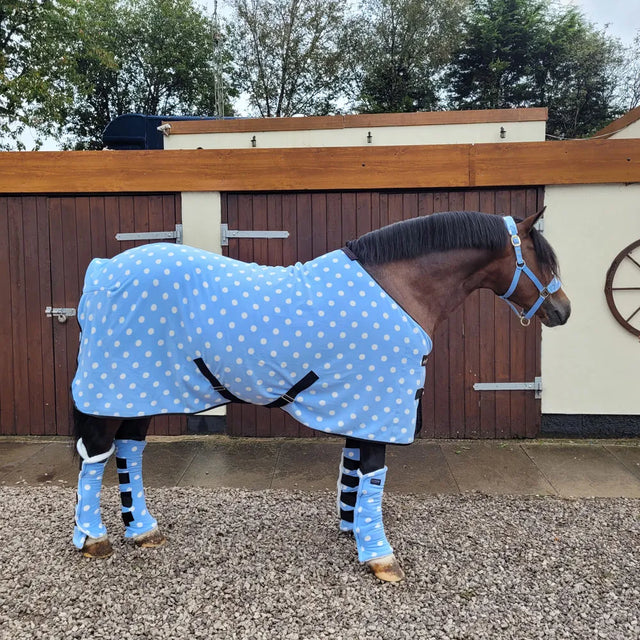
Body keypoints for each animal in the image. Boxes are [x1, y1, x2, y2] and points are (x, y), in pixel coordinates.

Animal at [70, 209, 568, 580]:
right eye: (542, 260)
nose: (563, 311)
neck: (398, 288)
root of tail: (102, 270)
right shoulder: (379, 403)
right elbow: (374, 474)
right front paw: (379, 554)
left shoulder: (362, 403)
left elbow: (353, 470)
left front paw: (353, 527)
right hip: (114, 392)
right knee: (95, 455)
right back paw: (93, 537)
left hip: (140, 393)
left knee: (129, 450)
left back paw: (142, 531)